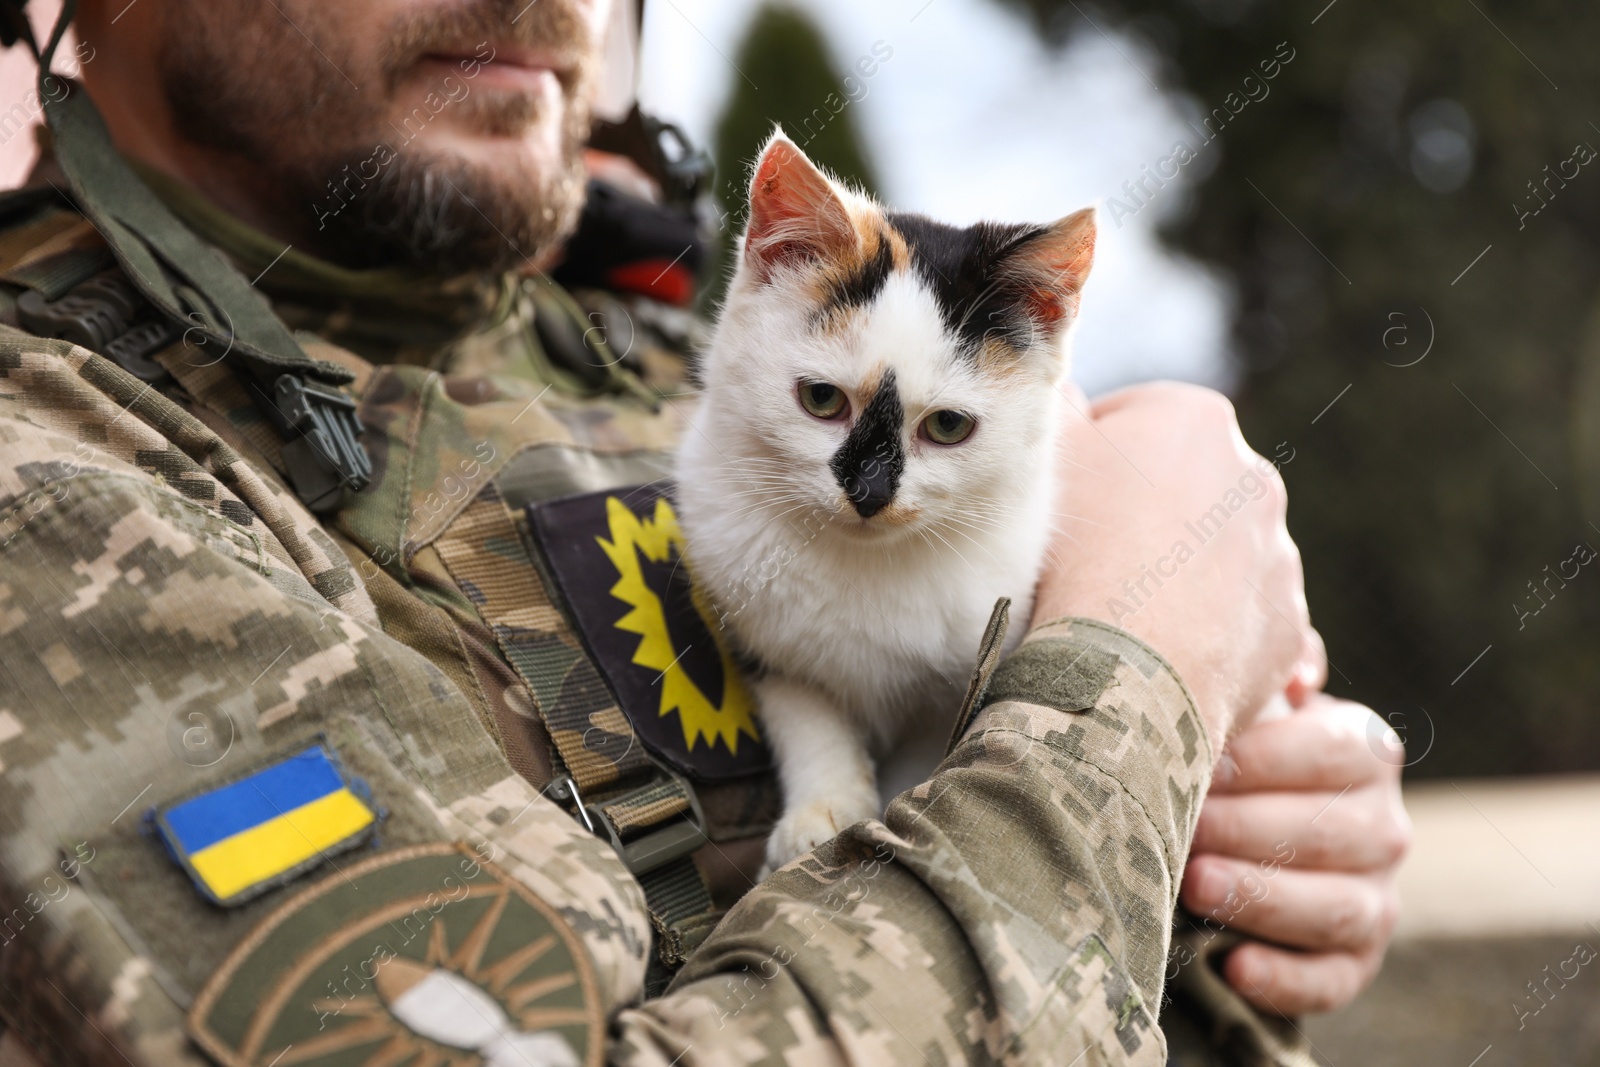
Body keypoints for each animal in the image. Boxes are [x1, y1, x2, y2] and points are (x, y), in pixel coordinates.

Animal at [668, 133, 1094, 870]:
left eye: (947, 426)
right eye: (821, 399)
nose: (868, 492)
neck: (864, 564)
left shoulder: (966, 679)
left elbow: (928, 763)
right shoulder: (754, 631)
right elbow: (806, 714)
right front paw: (823, 810)